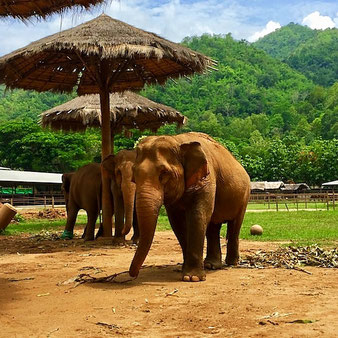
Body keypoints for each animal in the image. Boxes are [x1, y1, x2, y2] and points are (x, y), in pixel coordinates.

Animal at [128, 132, 250, 282]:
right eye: (134, 174)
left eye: (164, 173)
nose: (133, 274)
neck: (177, 140)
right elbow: (177, 222)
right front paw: (184, 271)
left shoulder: (207, 179)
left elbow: (198, 215)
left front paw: (192, 278)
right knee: (213, 226)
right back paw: (211, 265)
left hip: (244, 195)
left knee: (235, 225)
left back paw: (231, 263)